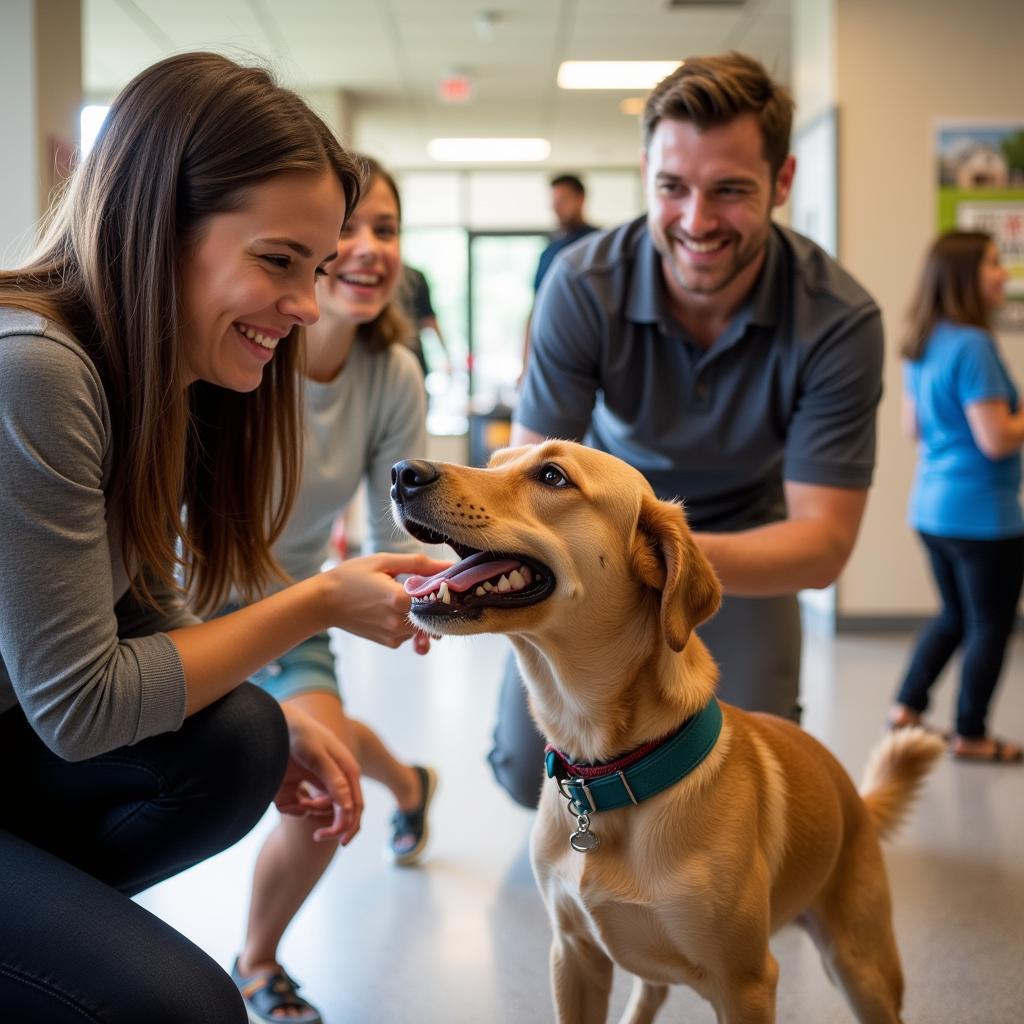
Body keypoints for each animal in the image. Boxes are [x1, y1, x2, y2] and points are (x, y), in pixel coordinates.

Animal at [389, 442, 942, 1024]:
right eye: (493, 460)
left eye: (552, 476)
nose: (403, 473)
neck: (609, 774)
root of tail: (854, 796)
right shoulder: (573, 955)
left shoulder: (746, 984)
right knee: (650, 991)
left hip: (861, 967)